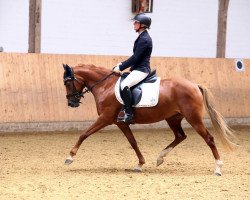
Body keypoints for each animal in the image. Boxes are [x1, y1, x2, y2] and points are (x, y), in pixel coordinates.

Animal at [62, 63, 234, 175]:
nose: (71, 103)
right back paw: (160, 158)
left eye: (68, 83)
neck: (106, 86)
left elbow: (84, 134)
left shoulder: (105, 118)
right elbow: (133, 142)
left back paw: (218, 168)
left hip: (193, 118)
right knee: (180, 136)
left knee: (209, 139)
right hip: (173, 118)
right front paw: (140, 164)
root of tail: (194, 85)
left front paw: (70, 157)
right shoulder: (120, 123)